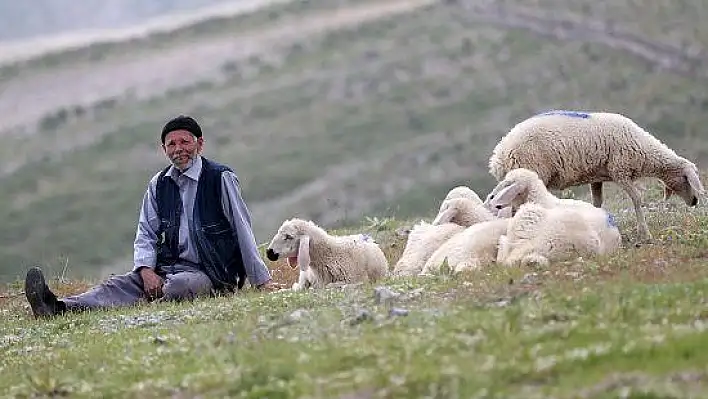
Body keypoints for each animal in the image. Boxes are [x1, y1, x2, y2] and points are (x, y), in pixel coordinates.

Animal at [490, 109, 704, 241]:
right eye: (687, 179)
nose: (695, 201)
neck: (643, 149)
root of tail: (499, 155)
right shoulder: (620, 171)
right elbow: (637, 199)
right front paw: (645, 233)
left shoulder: (597, 177)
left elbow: (597, 202)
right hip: (531, 171)